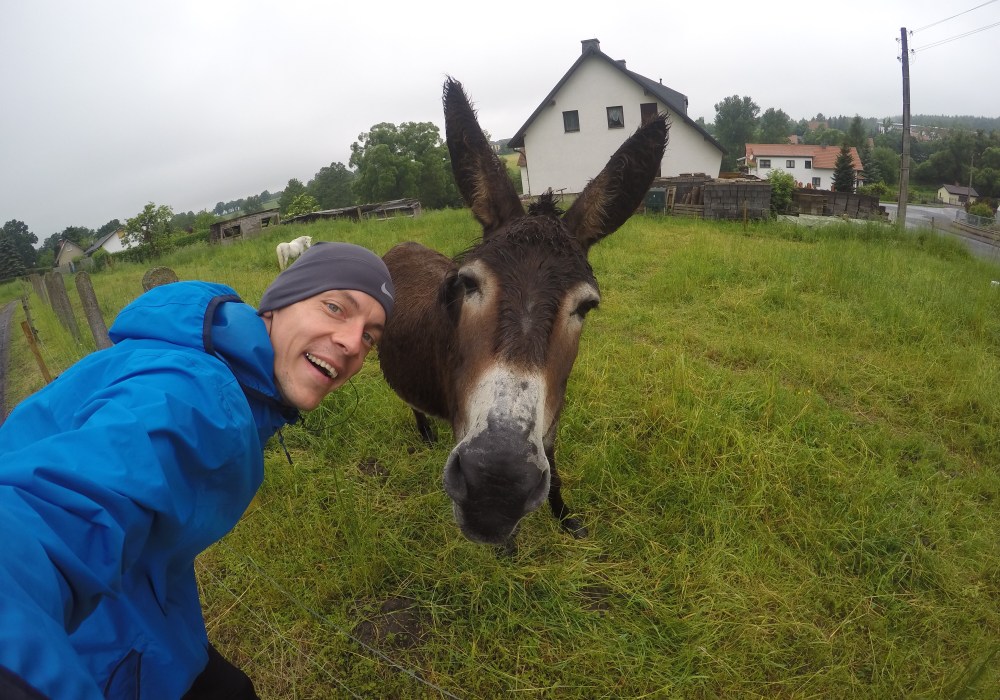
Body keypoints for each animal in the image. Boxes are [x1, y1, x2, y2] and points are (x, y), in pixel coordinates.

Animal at [379, 78, 667, 546]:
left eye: (586, 306)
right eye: (469, 283)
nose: (497, 483)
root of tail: (403, 243)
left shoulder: (551, 415)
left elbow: (553, 464)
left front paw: (565, 517)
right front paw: (506, 547)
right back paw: (424, 433)